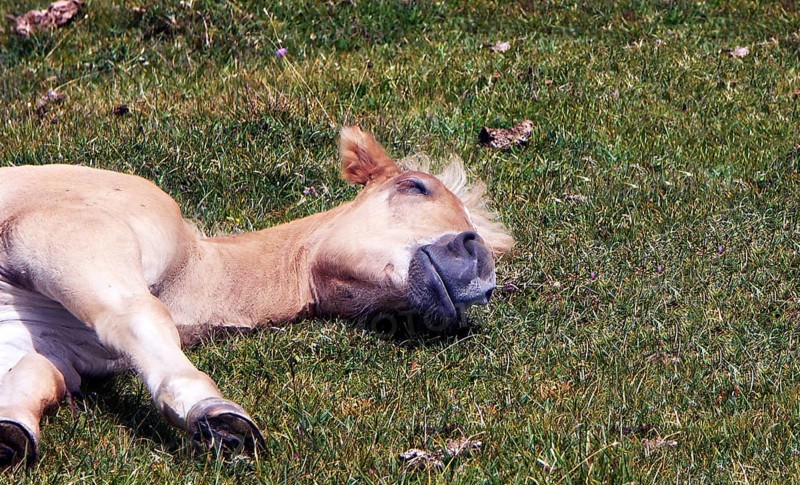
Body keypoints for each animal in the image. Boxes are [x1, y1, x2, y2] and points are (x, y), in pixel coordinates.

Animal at [0, 126, 513, 469]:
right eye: (415, 186)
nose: (477, 261)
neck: (195, 271)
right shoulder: (65, 234)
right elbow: (136, 316)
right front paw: (213, 414)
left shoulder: (41, 341)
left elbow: (35, 378)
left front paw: (10, 433)